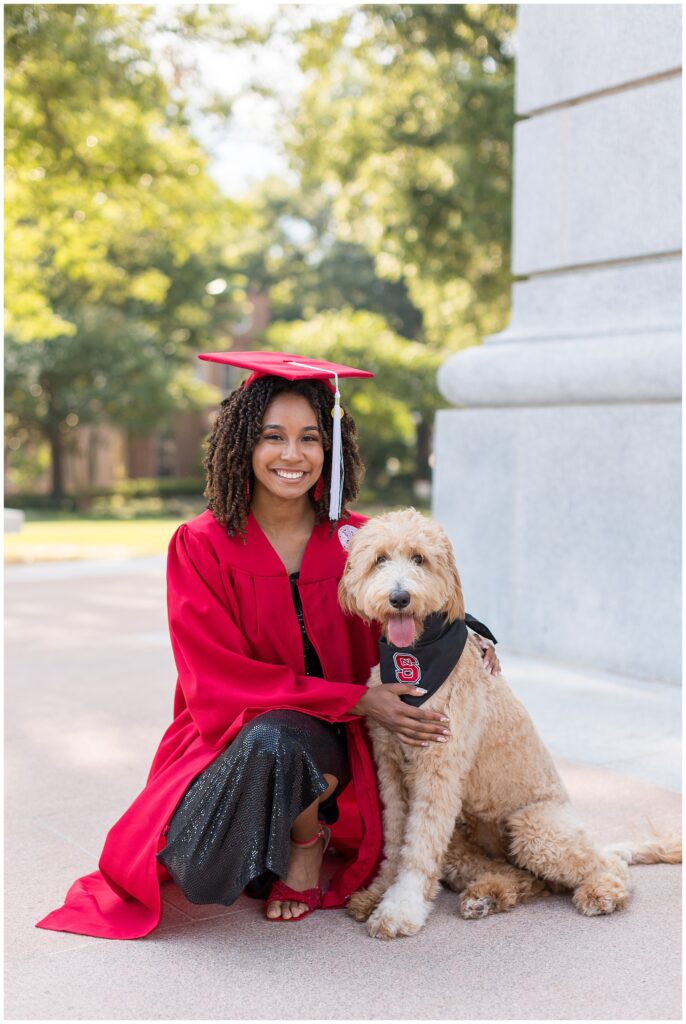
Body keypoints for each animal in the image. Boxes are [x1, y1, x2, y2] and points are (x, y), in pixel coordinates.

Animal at [337, 507, 683, 937]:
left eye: (419, 558)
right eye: (380, 559)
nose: (399, 598)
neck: (417, 658)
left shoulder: (438, 771)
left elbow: (417, 848)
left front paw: (400, 908)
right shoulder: (391, 769)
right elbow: (396, 835)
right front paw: (378, 892)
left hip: (533, 826)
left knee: (609, 866)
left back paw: (600, 891)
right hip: (466, 838)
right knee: (522, 876)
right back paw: (487, 895)